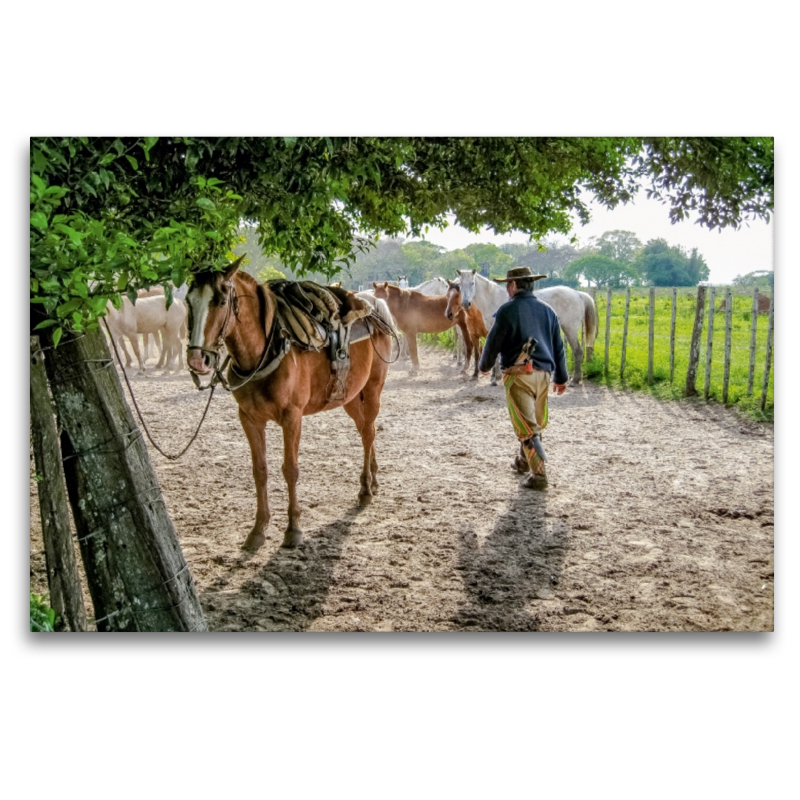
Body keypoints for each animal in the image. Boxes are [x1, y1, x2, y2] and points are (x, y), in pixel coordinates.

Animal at [191, 258, 396, 552]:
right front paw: (258, 530)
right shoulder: (249, 418)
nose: (197, 359)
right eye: (188, 300)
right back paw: (374, 479)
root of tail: (372, 306)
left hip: (373, 389)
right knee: (367, 430)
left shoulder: (292, 418)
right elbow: (260, 470)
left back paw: (366, 489)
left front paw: (293, 529)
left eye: (220, 301)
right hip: (349, 397)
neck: (265, 349)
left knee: (368, 433)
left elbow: (290, 470)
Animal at [456, 270, 592, 386]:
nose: (465, 303)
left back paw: (575, 381)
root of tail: (578, 294)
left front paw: (496, 379)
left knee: (578, 351)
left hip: (570, 329)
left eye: (472, 283)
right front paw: (496, 377)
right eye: (460, 285)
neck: (493, 299)